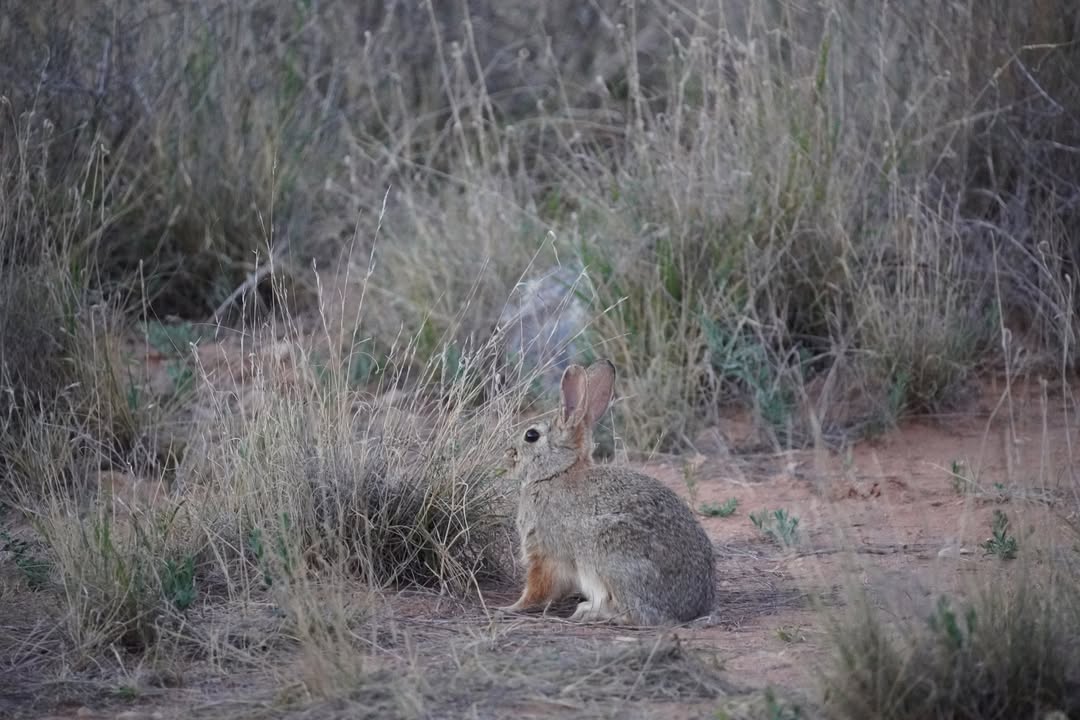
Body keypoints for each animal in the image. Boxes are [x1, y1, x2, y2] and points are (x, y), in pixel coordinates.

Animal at [498, 358, 716, 625]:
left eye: (531, 435)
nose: (507, 455)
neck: (557, 472)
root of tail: (688, 611)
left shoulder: (545, 553)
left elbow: (537, 589)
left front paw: (510, 608)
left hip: (611, 554)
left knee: (633, 614)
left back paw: (588, 612)